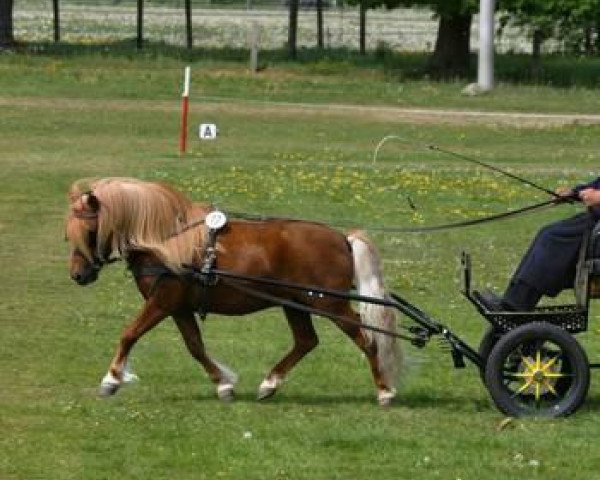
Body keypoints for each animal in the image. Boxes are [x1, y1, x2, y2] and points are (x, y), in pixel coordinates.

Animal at [65, 176, 400, 404]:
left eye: (90, 231)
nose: (78, 275)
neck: (165, 243)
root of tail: (342, 238)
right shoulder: (179, 307)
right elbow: (195, 346)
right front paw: (223, 384)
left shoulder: (162, 302)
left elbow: (129, 334)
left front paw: (111, 380)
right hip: (294, 303)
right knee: (306, 341)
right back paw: (269, 384)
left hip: (329, 304)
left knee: (367, 338)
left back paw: (385, 390)